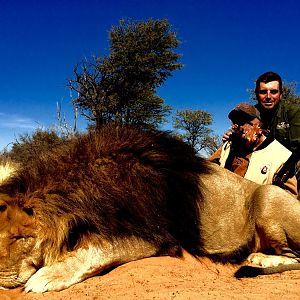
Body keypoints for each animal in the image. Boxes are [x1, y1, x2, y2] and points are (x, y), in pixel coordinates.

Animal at [0, 122, 300, 292]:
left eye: (21, 238)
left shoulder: (154, 238)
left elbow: (96, 251)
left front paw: (47, 276)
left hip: (269, 195)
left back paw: (260, 259)